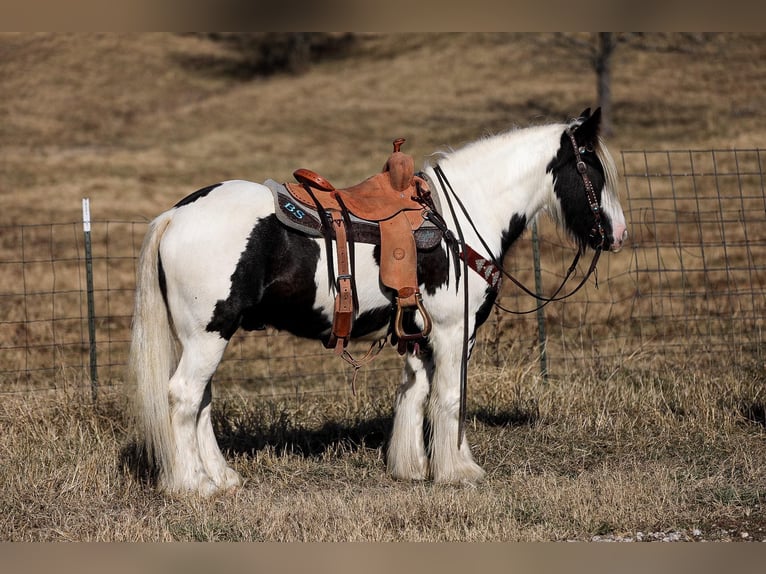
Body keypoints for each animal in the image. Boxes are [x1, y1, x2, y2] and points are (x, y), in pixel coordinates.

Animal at [127, 109, 632, 500]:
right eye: (591, 167)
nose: (619, 234)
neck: (458, 222)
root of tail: (176, 214)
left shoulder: (420, 333)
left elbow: (416, 392)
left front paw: (411, 467)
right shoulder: (455, 330)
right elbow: (451, 397)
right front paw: (458, 472)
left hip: (208, 335)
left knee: (202, 401)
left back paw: (221, 477)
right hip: (208, 334)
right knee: (183, 397)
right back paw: (192, 485)